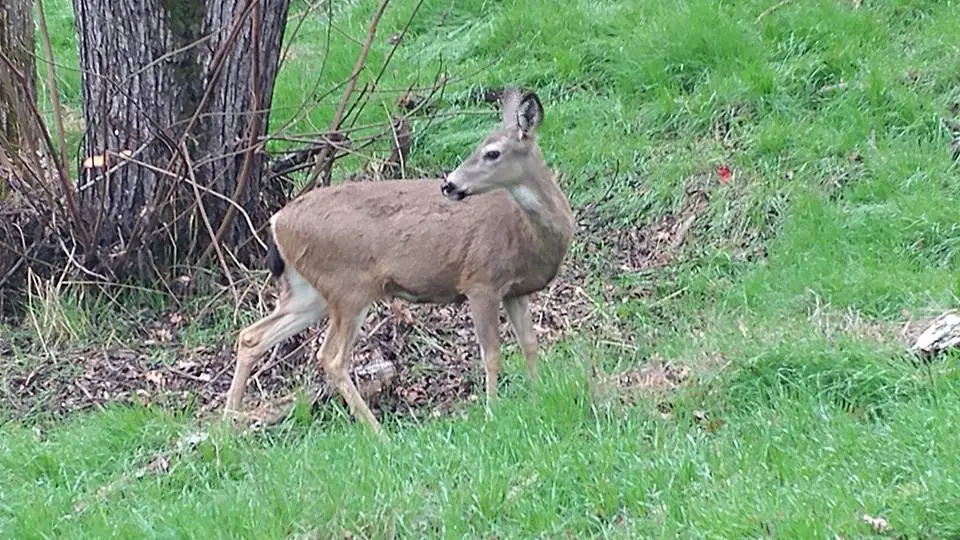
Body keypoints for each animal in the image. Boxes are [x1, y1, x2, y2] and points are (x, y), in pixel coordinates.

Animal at [222, 87, 574, 438]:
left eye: (492, 153)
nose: (449, 184)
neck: (527, 233)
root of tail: (277, 222)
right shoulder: (480, 280)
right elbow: (492, 353)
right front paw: (492, 413)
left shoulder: (516, 290)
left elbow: (529, 343)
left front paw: (537, 395)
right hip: (348, 286)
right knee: (331, 357)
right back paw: (379, 433)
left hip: (309, 291)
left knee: (252, 336)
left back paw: (228, 427)